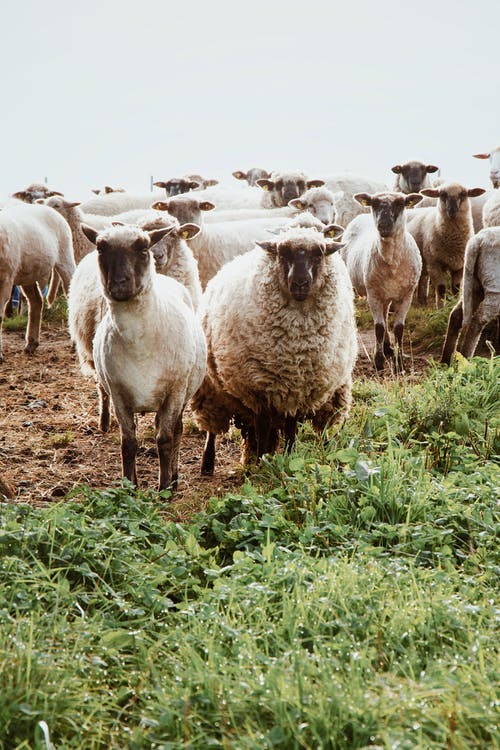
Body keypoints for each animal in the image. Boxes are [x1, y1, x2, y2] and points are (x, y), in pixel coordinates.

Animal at [71, 223, 206, 494]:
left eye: (144, 249)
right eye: (100, 249)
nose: (119, 283)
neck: (139, 343)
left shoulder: (174, 392)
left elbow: (165, 439)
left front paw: (164, 488)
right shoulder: (118, 394)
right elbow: (129, 443)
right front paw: (129, 486)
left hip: (182, 393)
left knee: (176, 431)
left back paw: (174, 478)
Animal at [189, 223, 358, 478]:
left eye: (318, 254)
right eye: (282, 254)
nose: (300, 283)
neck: (296, 347)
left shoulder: (299, 389)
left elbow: (290, 428)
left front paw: (288, 456)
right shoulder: (259, 389)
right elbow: (263, 426)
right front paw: (262, 462)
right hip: (211, 389)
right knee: (212, 430)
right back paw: (208, 464)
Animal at [340, 192, 422, 372]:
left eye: (400, 204)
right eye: (374, 204)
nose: (383, 225)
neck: (392, 261)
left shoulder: (407, 295)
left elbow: (398, 328)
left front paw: (399, 362)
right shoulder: (373, 294)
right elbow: (378, 327)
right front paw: (378, 361)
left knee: (385, 315)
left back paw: (388, 348)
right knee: (382, 320)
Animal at [442, 226, 500, 364]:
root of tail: (477, 241)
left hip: (472, 281)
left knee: (456, 315)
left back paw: (446, 361)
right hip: (494, 286)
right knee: (478, 320)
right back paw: (467, 359)